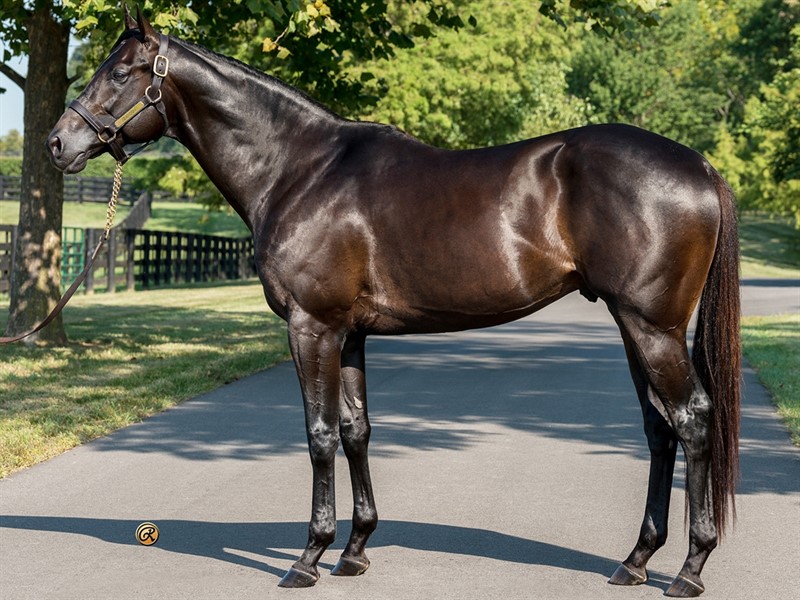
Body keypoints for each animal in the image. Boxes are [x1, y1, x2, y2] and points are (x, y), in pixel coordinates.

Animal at [47, 9, 740, 597]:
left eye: (120, 72)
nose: (58, 144)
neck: (299, 169)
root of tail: (701, 168)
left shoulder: (312, 327)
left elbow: (320, 433)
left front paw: (309, 557)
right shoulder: (349, 332)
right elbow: (357, 429)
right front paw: (354, 550)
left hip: (652, 327)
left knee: (693, 419)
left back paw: (690, 568)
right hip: (633, 325)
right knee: (660, 428)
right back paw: (635, 561)